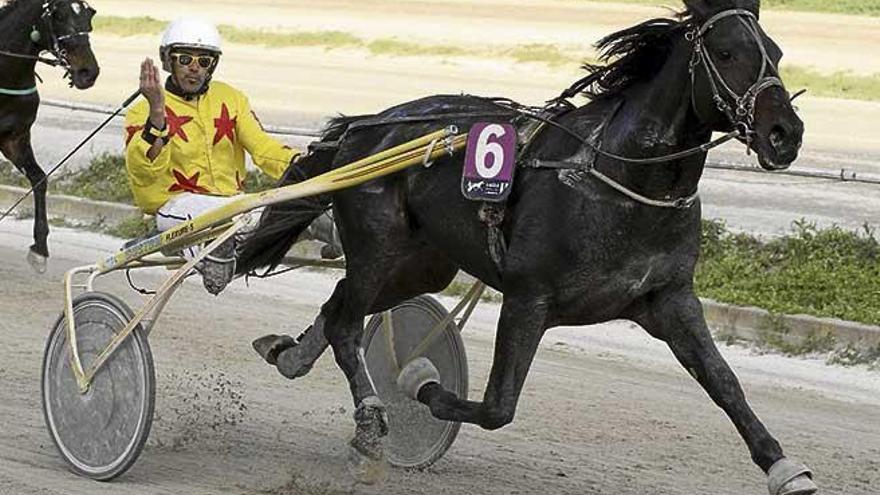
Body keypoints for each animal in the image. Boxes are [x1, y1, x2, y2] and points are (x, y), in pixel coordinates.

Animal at [0, 0, 99, 272]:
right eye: (58, 15)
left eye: (89, 15)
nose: (88, 72)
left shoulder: (14, 137)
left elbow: (39, 179)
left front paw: (40, 248)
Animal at [242, 1, 820, 494]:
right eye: (725, 53)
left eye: (776, 52)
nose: (784, 133)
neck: (619, 178)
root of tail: (363, 127)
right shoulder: (528, 297)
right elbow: (497, 406)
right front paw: (423, 385)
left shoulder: (670, 298)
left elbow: (724, 381)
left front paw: (784, 468)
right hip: (378, 245)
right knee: (346, 322)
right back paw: (369, 428)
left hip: (421, 264)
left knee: (339, 303)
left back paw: (289, 355)